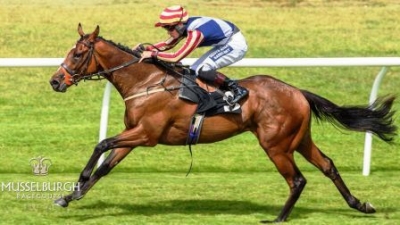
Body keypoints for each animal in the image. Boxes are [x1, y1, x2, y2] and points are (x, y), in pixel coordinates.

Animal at [48, 23, 396, 222]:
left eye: (78, 53)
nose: (55, 81)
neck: (145, 81)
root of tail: (297, 91)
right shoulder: (135, 135)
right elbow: (106, 165)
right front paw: (70, 196)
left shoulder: (145, 134)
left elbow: (101, 144)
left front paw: (76, 185)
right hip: (299, 139)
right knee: (328, 166)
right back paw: (360, 204)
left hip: (276, 144)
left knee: (297, 180)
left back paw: (279, 219)